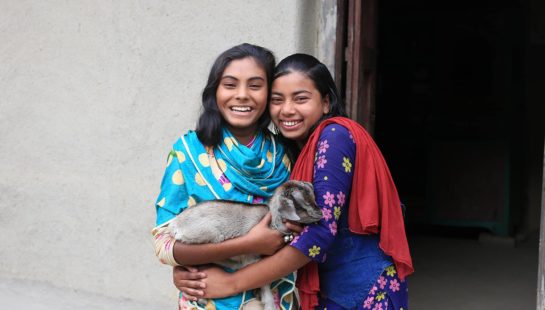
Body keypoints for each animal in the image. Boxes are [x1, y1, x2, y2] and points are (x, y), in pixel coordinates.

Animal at [168, 180, 320, 308]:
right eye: (304, 204)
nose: (321, 212)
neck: (273, 219)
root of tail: (174, 225)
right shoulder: (252, 257)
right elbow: (265, 284)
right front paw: (269, 304)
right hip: (205, 238)